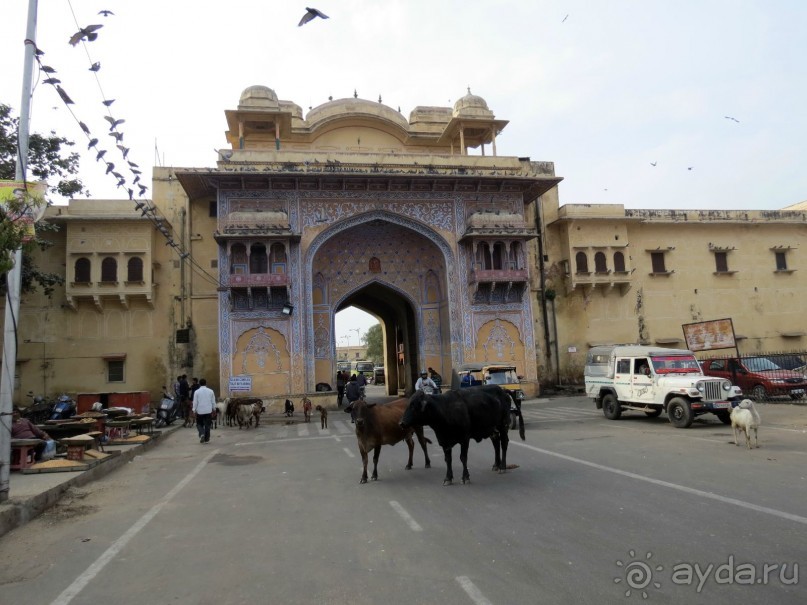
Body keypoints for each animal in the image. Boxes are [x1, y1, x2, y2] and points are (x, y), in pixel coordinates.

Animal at [400, 382, 528, 486]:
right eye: (408, 404)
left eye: (414, 406)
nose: (401, 423)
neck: (445, 410)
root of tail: (502, 389)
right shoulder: (444, 441)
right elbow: (448, 459)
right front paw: (448, 478)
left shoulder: (464, 439)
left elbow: (463, 457)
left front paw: (465, 477)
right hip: (493, 429)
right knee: (496, 444)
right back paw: (496, 465)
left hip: (503, 426)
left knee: (504, 444)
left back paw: (502, 467)